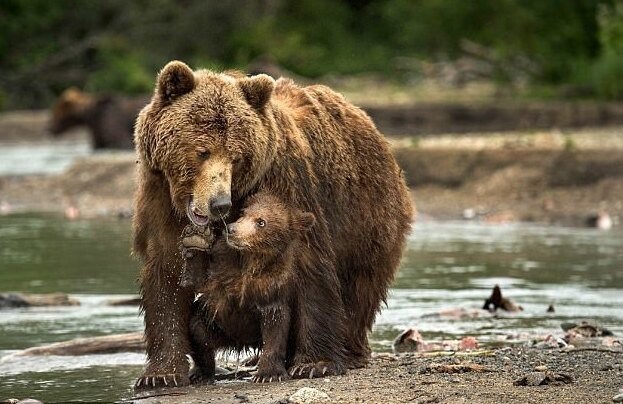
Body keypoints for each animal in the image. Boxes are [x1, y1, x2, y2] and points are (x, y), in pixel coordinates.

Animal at [132, 60, 414, 388]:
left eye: (236, 156)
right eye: (202, 151)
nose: (219, 204)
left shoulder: (286, 187)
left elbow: (307, 265)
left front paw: (314, 363)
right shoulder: (159, 199)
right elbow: (166, 273)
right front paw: (161, 374)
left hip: (366, 216)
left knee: (359, 285)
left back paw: (349, 351)